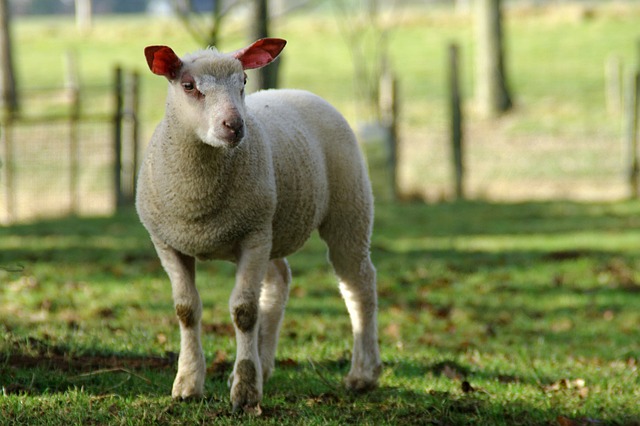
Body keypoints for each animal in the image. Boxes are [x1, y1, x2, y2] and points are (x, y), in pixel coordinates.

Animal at [135, 38, 380, 412]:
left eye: (244, 82)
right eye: (189, 86)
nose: (235, 126)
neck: (199, 204)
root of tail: (300, 92)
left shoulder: (252, 237)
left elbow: (244, 312)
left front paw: (246, 393)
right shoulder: (168, 242)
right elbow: (186, 310)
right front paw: (188, 384)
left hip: (347, 209)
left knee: (358, 284)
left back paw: (363, 374)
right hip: (273, 226)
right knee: (279, 282)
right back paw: (263, 365)